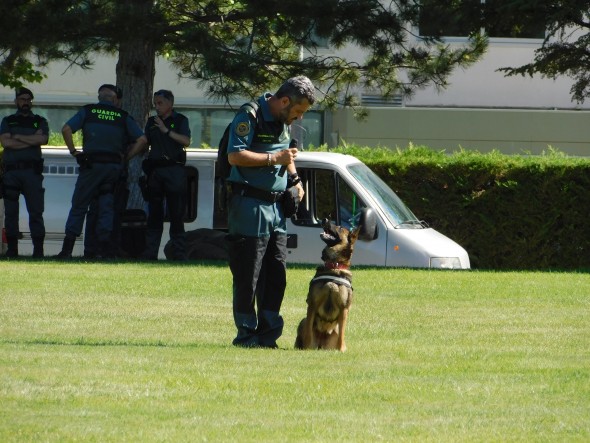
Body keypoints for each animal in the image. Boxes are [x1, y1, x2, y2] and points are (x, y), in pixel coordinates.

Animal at [294, 220, 360, 352]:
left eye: (340, 228)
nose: (324, 220)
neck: (334, 266)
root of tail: (321, 344)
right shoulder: (312, 305)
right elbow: (308, 333)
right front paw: (307, 349)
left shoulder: (344, 309)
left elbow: (342, 335)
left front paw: (341, 350)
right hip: (303, 321)